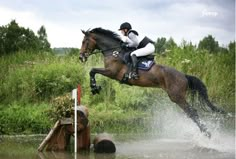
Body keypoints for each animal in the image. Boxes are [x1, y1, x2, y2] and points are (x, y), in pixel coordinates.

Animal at [79, 27, 225, 138]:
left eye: (85, 41)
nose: (81, 57)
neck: (114, 51)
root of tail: (183, 75)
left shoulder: (112, 72)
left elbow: (92, 71)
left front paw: (94, 88)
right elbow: (92, 71)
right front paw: (95, 87)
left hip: (177, 96)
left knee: (192, 112)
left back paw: (207, 133)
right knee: (191, 113)